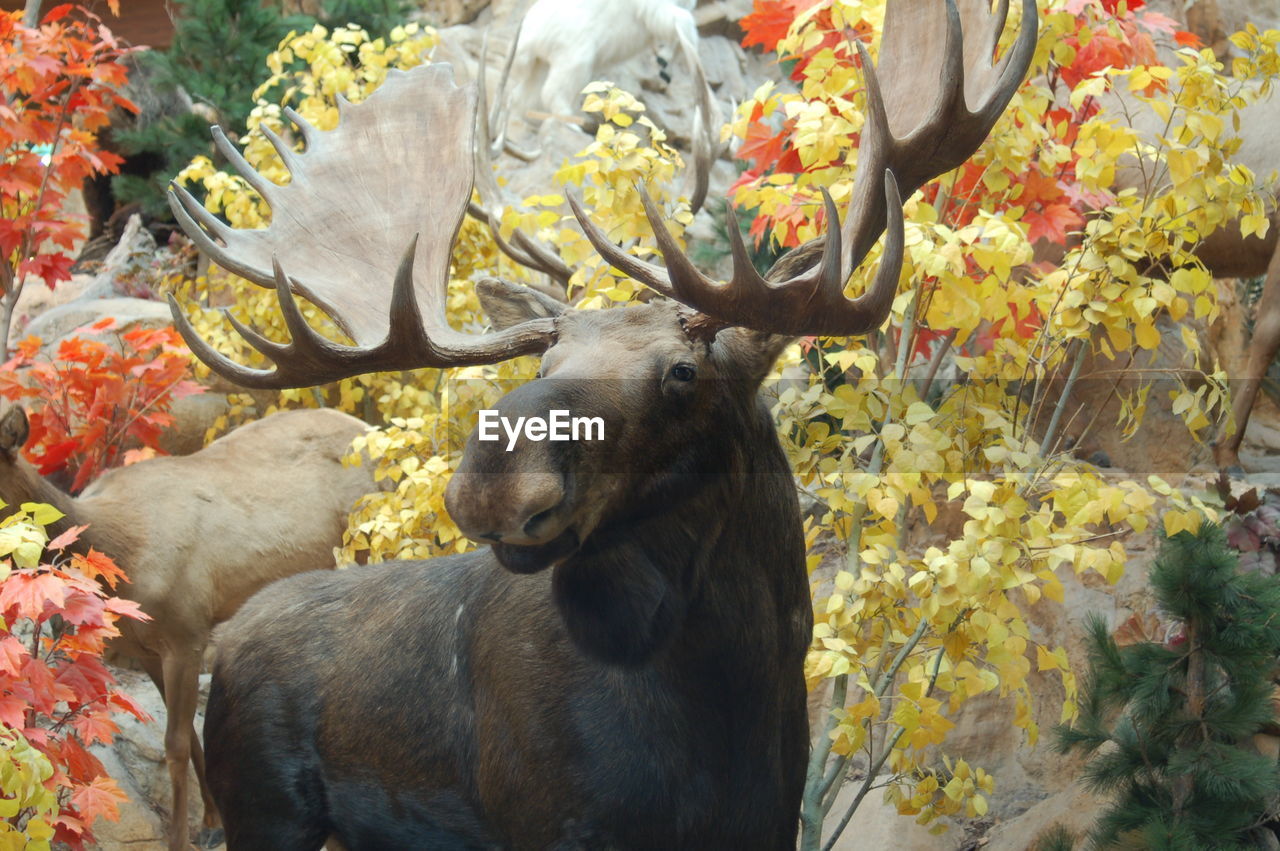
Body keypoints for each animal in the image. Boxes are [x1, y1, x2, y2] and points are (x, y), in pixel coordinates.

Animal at [0, 406, 376, 849]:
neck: (120, 547)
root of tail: (370, 428)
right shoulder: (146, 648)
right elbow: (190, 736)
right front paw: (211, 821)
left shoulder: (186, 630)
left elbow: (176, 744)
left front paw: (184, 836)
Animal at [162, 1, 1039, 844]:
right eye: (544, 363)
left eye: (683, 372)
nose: (494, 483)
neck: (729, 705)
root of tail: (223, 644)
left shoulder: (768, 822)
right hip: (263, 809)